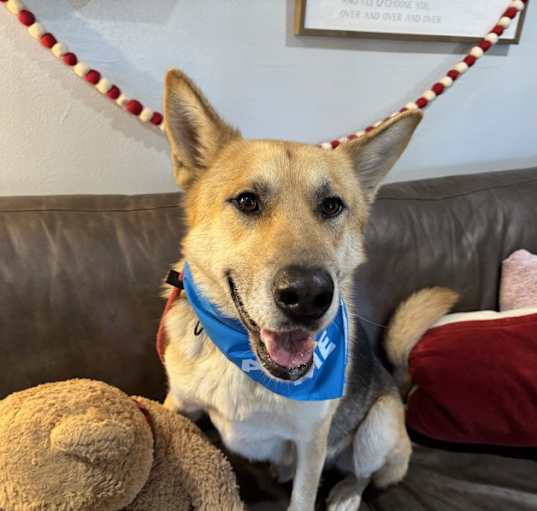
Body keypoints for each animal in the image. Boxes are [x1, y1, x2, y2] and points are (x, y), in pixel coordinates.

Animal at [158, 69, 444, 511]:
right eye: (247, 201)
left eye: (332, 206)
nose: (308, 296)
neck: (245, 363)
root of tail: (396, 385)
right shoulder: (178, 405)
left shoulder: (313, 444)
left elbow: (303, 498)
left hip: (377, 429)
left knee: (365, 473)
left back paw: (346, 493)